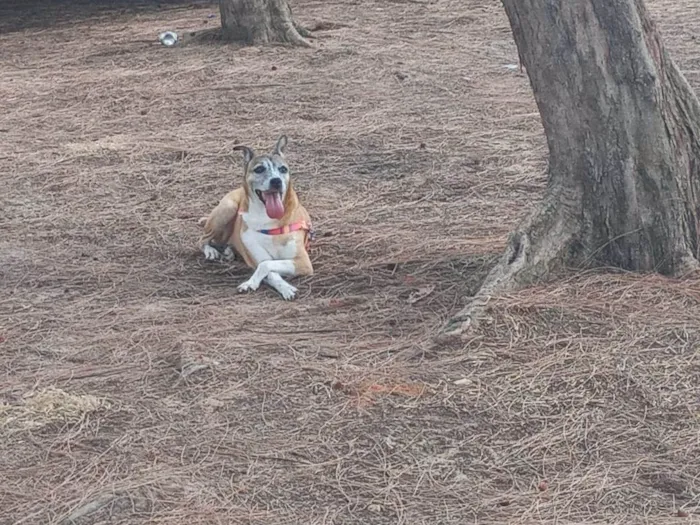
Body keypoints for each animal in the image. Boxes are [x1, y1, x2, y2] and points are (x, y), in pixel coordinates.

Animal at [200, 135, 314, 298]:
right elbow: (267, 268)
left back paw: (228, 251)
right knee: (203, 239)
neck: (267, 220)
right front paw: (254, 284)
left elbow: (267, 266)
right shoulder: (256, 258)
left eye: (283, 169)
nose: (276, 181)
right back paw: (211, 251)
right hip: (228, 208)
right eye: (259, 169)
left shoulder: (302, 262)